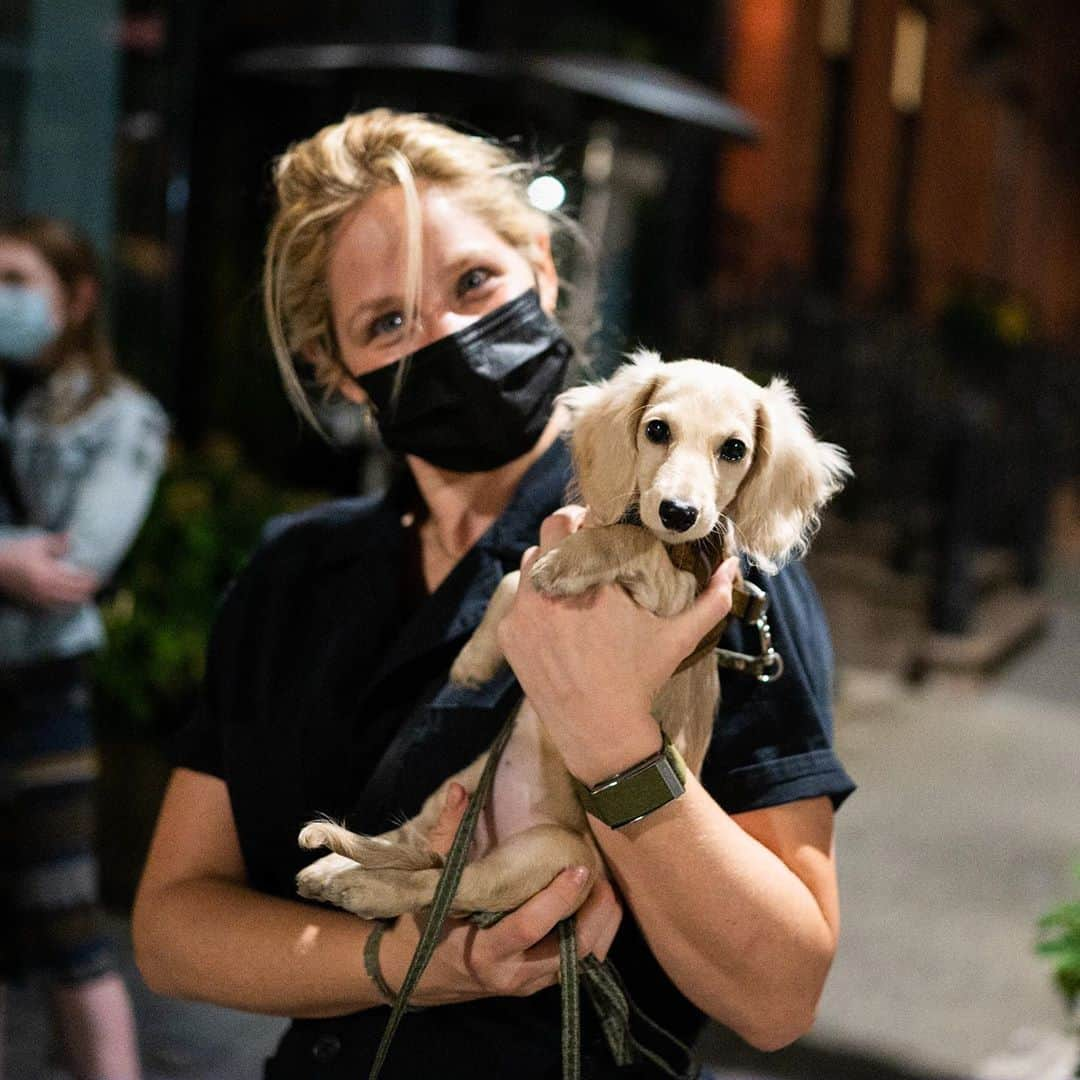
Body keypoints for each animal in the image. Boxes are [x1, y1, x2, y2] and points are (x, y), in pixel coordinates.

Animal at [298, 352, 851, 920]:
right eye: (657, 429)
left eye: (734, 449)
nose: (678, 514)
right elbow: (514, 576)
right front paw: (474, 661)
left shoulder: (675, 591)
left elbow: (626, 538)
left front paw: (569, 563)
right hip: (451, 792)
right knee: (413, 846)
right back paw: (336, 866)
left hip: (552, 852)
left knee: (444, 885)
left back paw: (362, 886)